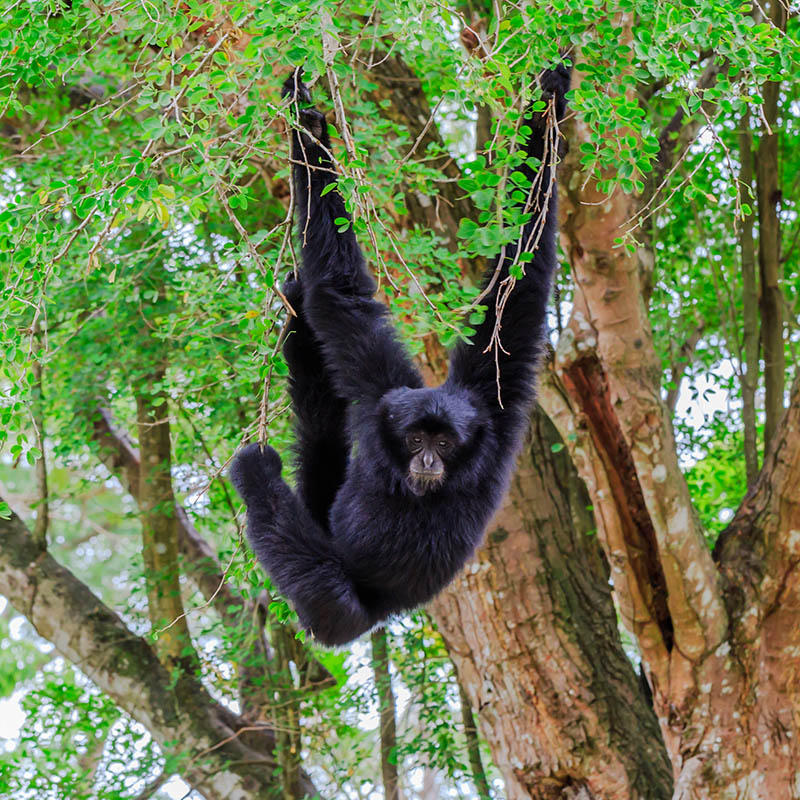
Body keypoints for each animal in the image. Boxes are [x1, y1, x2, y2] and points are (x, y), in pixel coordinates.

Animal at [228, 65, 572, 648]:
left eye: (444, 442)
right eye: (415, 440)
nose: (428, 461)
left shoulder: (465, 411)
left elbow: (340, 294)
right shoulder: (454, 400)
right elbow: (520, 280)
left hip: (346, 608)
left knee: (330, 601)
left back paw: (256, 473)